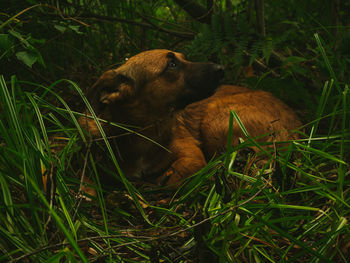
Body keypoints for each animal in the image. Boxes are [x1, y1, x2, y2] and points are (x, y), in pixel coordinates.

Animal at [78, 49, 300, 186]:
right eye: (172, 64)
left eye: (183, 57)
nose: (221, 69)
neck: (143, 133)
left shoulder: (191, 156)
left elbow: (174, 177)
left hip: (215, 120)